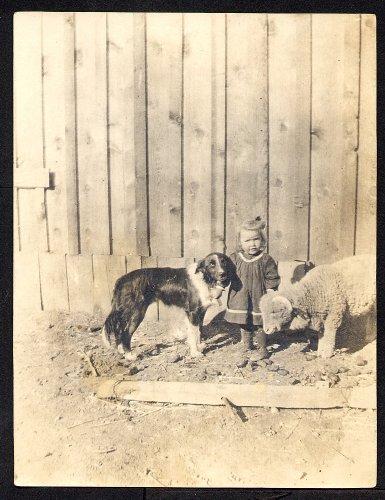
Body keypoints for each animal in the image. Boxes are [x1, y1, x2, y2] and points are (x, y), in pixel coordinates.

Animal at [102, 254, 234, 360]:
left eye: (224, 262)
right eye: (212, 264)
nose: (223, 274)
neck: (204, 278)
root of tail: (122, 279)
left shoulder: (201, 312)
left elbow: (199, 331)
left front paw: (199, 346)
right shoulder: (192, 312)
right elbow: (193, 333)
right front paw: (195, 353)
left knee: (119, 331)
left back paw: (121, 350)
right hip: (136, 313)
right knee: (126, 334)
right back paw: (129, 355)